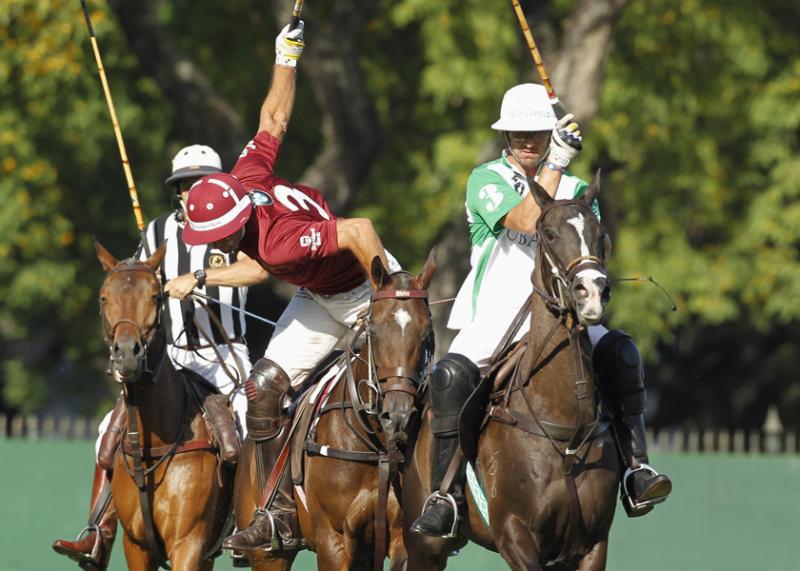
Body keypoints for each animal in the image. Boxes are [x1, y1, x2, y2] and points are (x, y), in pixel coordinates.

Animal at [96, 241, 233, 570]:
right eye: (104, 297)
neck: (155, 441)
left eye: (155, 296)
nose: (126, 355)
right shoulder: (136, 544)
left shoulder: (188, 542)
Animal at [233, 253, 436, 571]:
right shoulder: (333, 539)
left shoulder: (400, 538)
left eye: (426, 333)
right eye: (373, 331)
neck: (377, 448)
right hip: (266, 553)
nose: (398, 415)